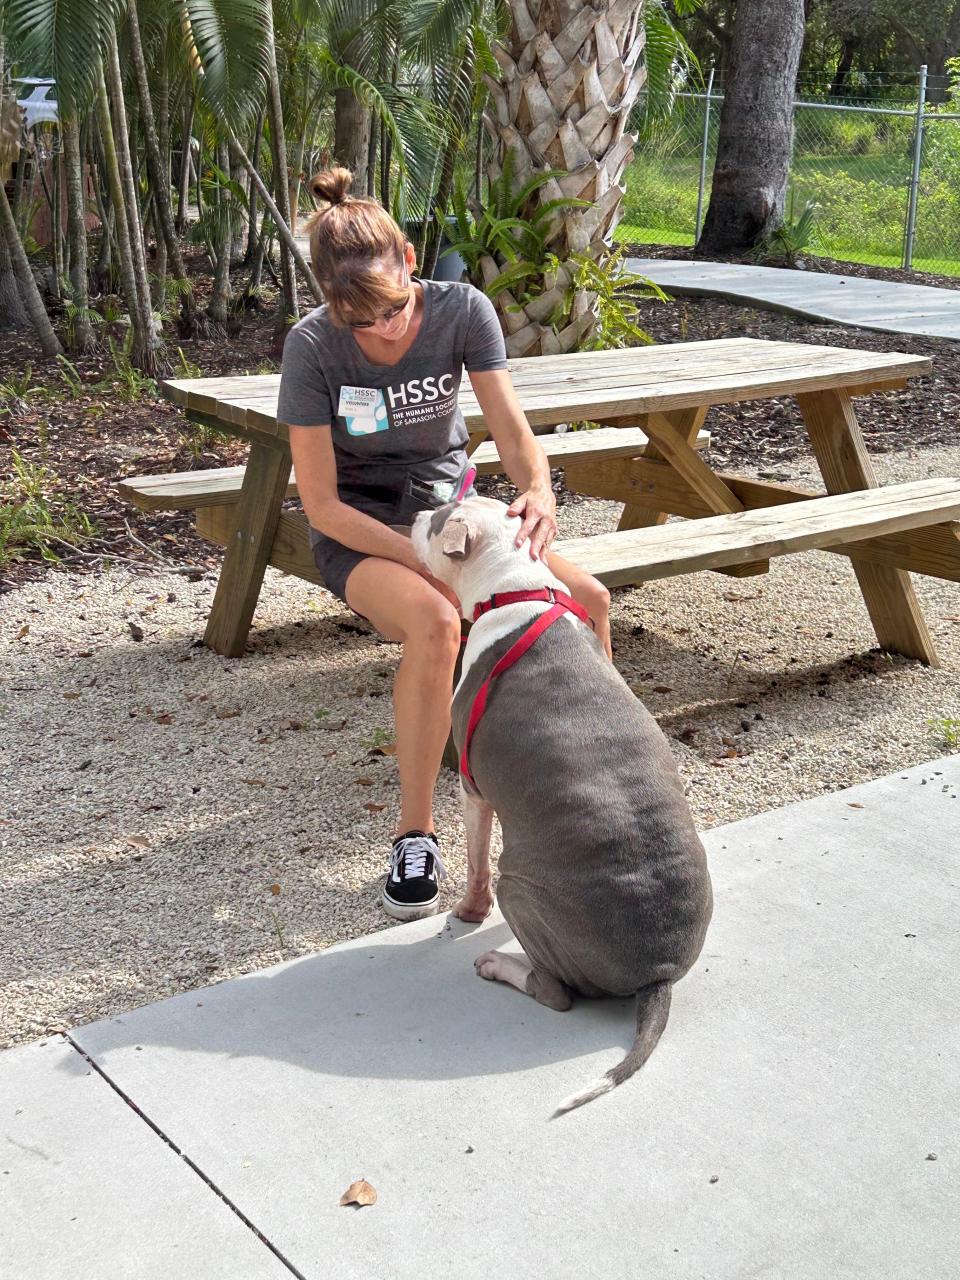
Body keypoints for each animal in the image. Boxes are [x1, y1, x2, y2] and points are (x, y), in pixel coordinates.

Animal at [407, 494, 716, 1116]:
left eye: (438, 521)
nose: (412, 516)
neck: (516, 588)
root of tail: (659, 973)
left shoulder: (473, 788)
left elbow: (474, 863)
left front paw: (468, 915)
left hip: (520, 886)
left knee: (556, 992)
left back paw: (498, 964)